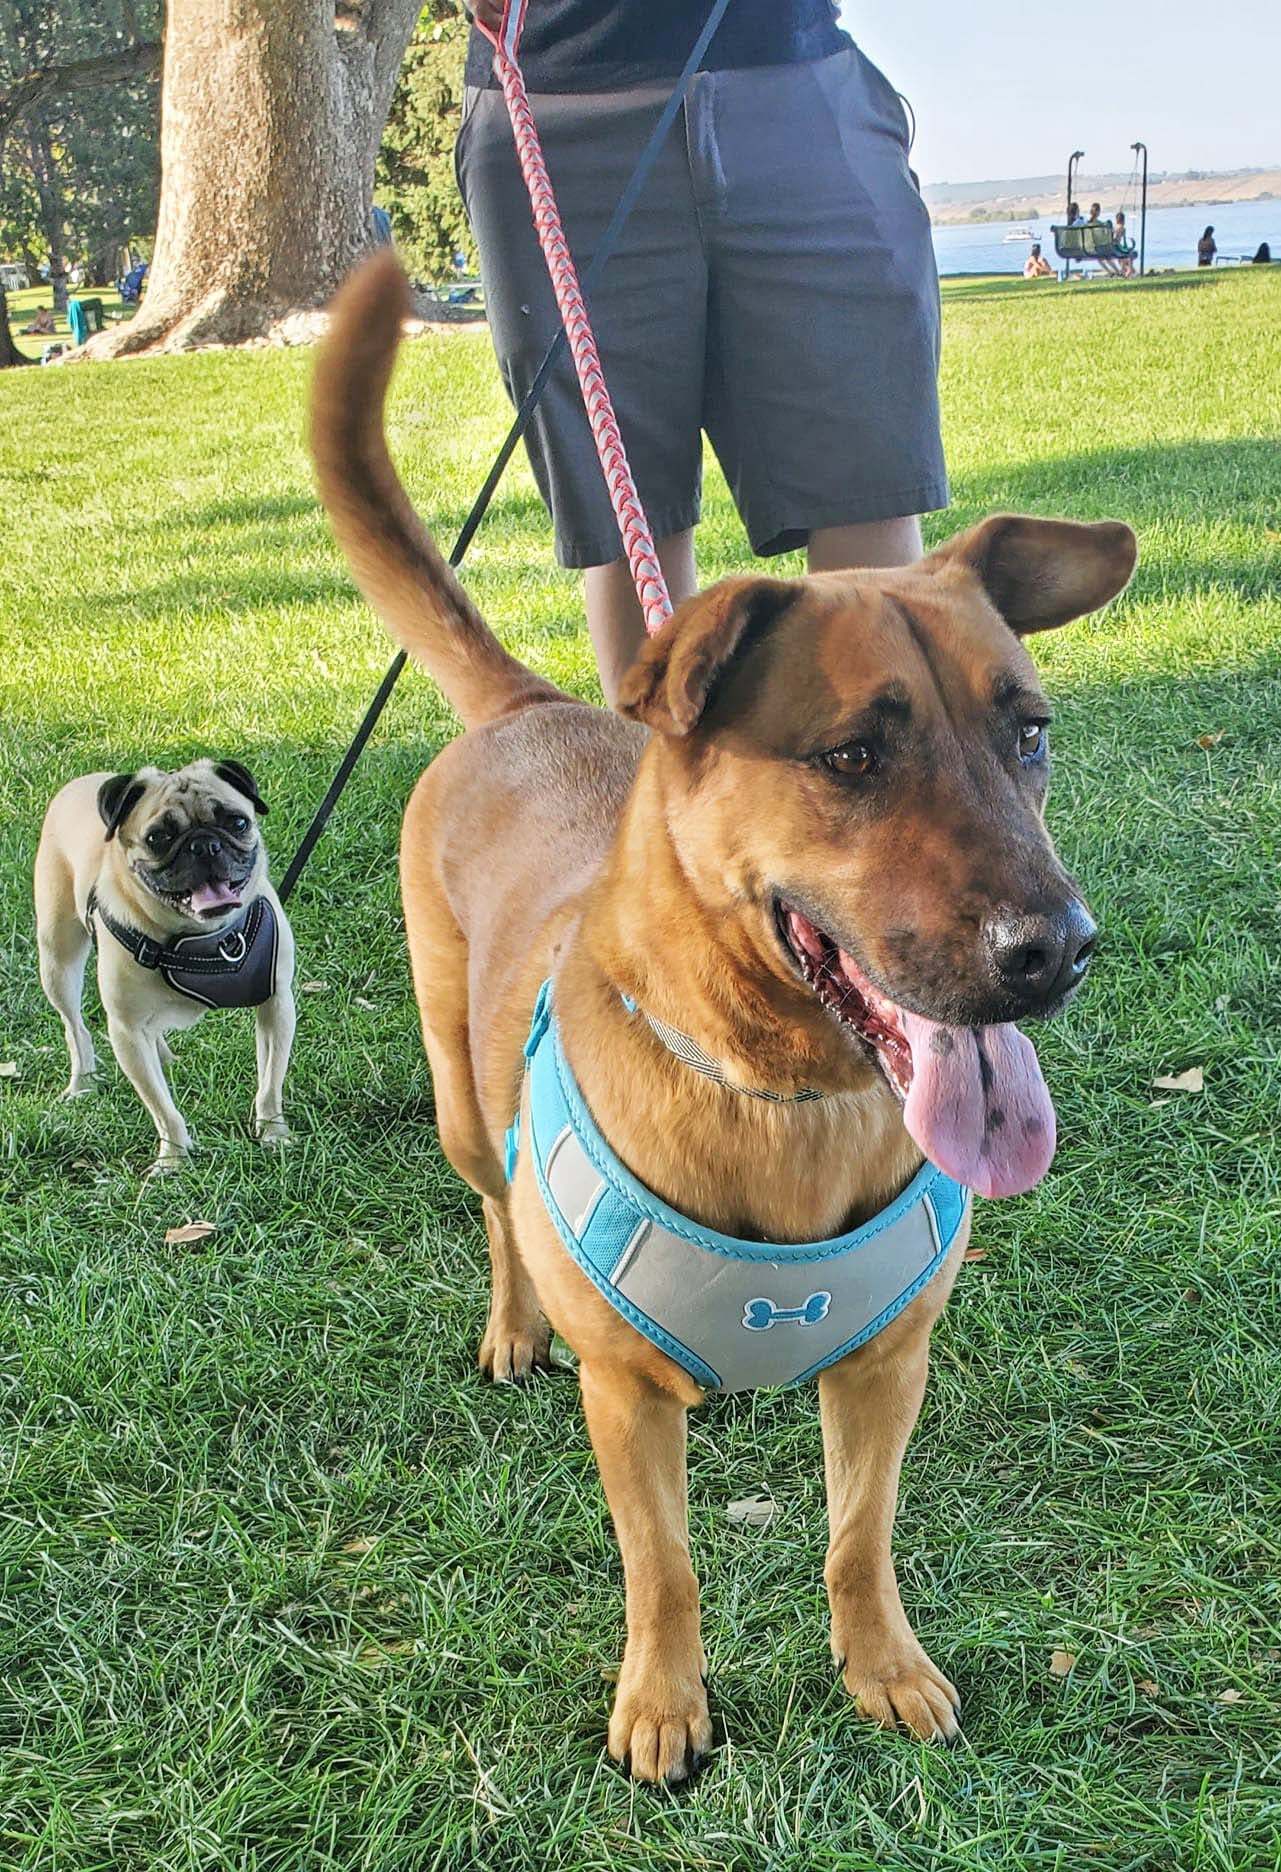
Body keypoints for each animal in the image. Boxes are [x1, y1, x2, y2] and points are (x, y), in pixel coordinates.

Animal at [310, 252, 1131, 1782]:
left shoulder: (885, 1369)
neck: (784, 1095)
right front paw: (664, 1702)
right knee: (494, 1206)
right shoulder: (627, 1402)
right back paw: (512, 1322)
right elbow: (665, 1568)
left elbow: (859, 1538)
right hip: (458, 1099)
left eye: (1029, 731)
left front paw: (882, 1666)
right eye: (851, 757)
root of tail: (522, 705)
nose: (1056, 951)